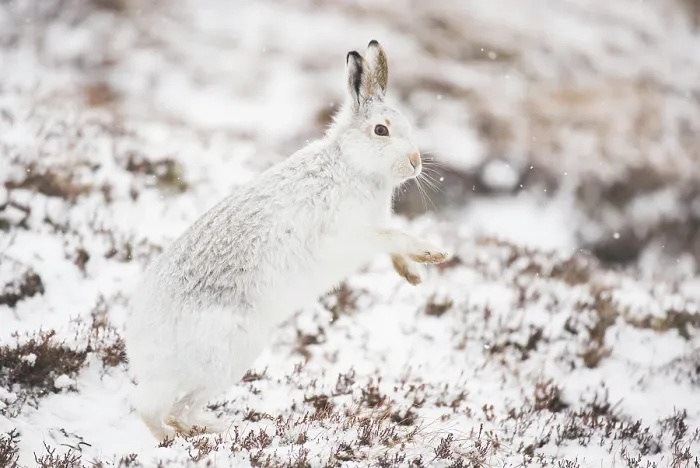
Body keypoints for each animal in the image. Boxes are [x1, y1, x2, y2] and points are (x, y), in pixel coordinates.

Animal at [123, 40, 449, 440]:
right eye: (381, 131)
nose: (415, 162)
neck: (351, 165)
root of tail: (141, 349)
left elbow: (392, 246)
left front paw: (414, 275)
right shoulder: (350, 235)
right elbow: (394, 235)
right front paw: (433, 253)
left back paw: (212, 427)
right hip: (229, 354)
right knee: (160, 410)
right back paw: (183, 437)